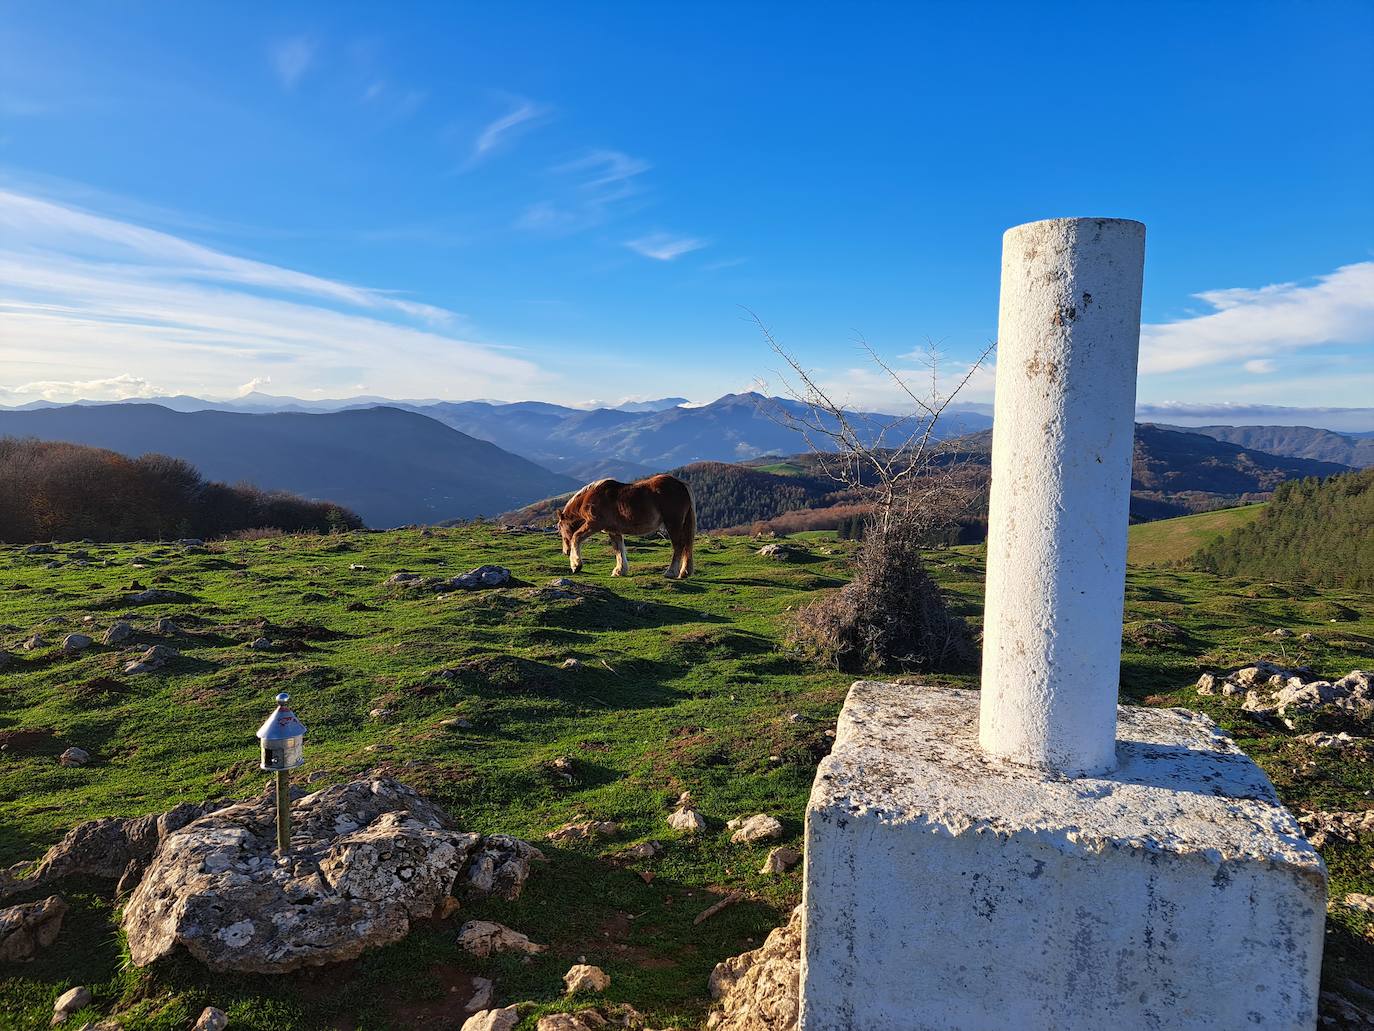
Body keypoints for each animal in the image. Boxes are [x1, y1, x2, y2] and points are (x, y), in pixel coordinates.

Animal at [555, 475, 697, 582]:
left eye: (560, 528)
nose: (566, 551)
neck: (590, 498)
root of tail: (681, 485)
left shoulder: (593, 524)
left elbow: (576, 537)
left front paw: (576, 565)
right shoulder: (614, 531)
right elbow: (618, 549)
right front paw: (619, 571)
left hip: (673, 524)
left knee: (679, 546)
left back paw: (671, 572)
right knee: (686, 546)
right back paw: (684, 573)